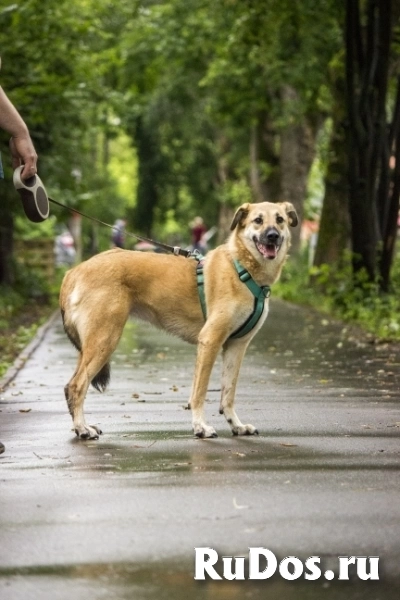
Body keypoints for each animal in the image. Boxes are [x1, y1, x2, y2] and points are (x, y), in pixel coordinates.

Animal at [59, 202, 296, 440]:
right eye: (258, 220)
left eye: (280, 220)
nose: (273, 236)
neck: (242, 268)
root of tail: (74, 270)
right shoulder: (210, 341)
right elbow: (199, 392)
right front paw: (200, 426)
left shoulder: (236, 347)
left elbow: (228, 393)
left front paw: (236, 425)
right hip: (104, 340)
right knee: (76, 386)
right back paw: (82, 428)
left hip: (92, 345)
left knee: (72, 385)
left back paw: (82, 426)